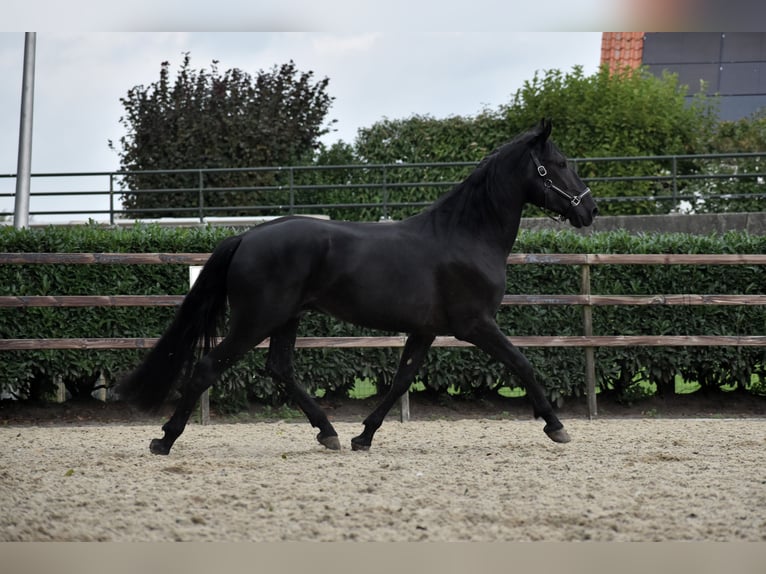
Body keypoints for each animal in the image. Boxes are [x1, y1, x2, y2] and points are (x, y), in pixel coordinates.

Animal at [118, 120, 600, 454]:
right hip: (255, 320)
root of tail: (247, 236)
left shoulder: (425, 331)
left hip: (286, 319)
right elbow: (523, 364)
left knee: (280, 369)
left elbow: (401, 381)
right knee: (207, 368)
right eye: (559, 165)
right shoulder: (476, 325)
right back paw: (164, 440)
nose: (590, 210)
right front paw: (556, 426)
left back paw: (329, 433)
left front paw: (364, 436)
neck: (466, 235)